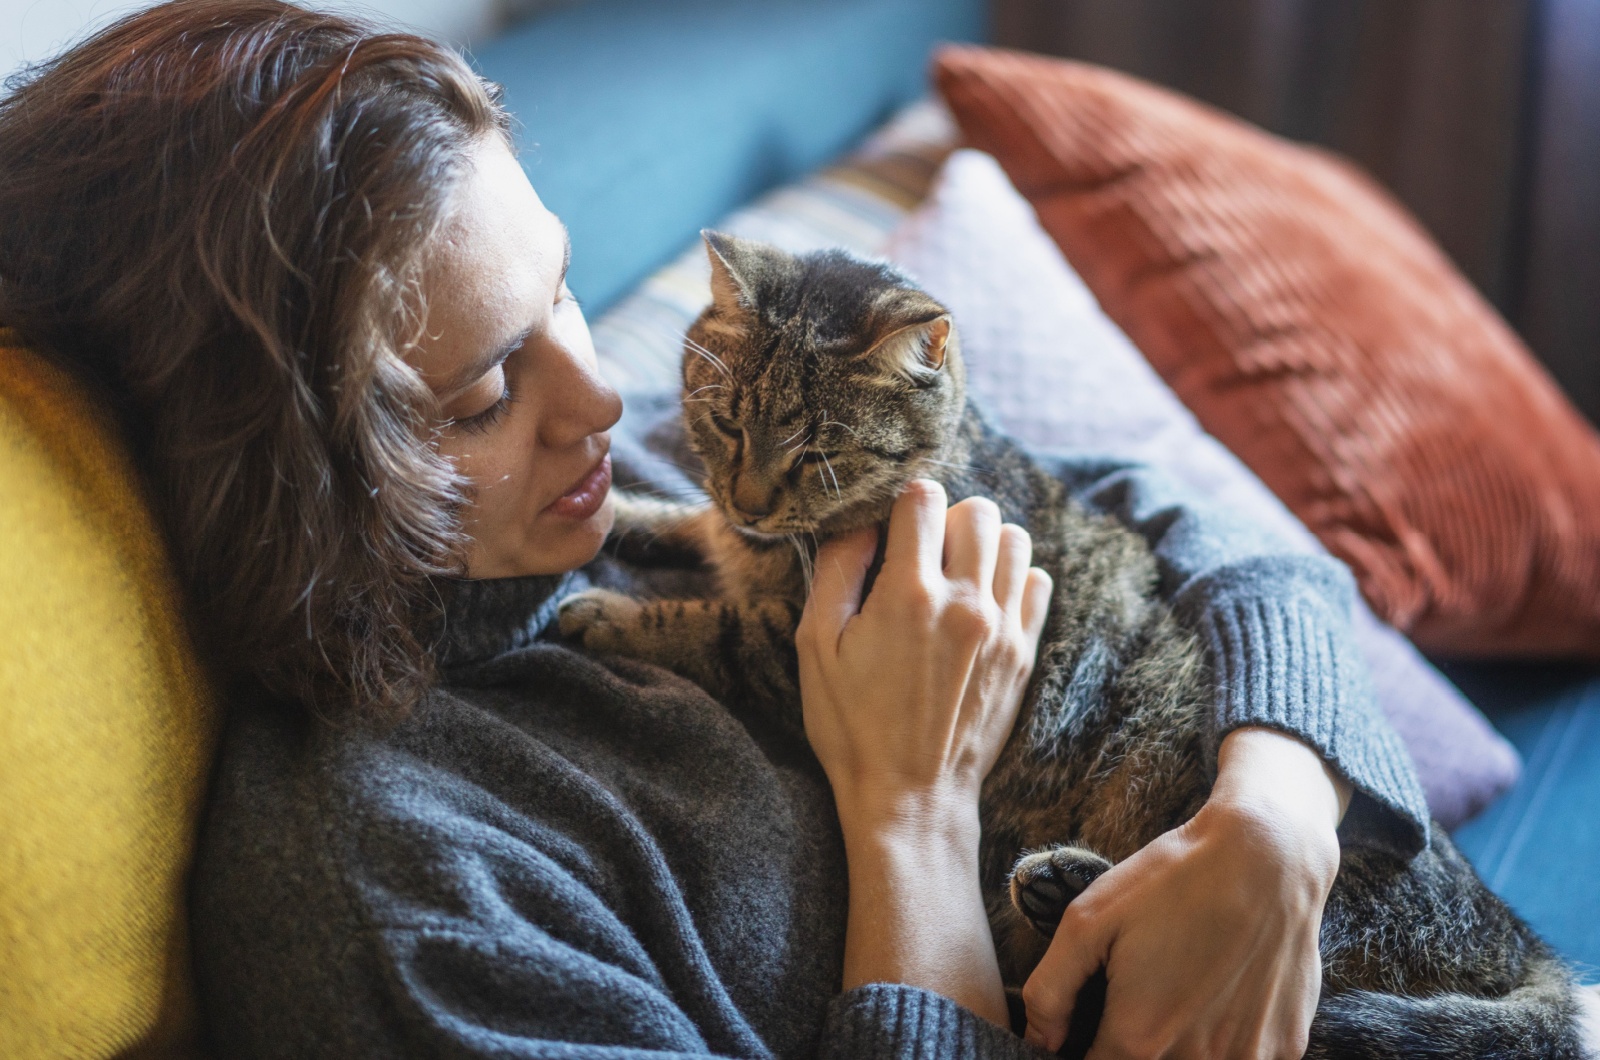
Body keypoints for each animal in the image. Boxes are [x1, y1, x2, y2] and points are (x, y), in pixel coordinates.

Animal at [560, 235, 1587, 1060]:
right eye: (728, 421)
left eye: (818, 454)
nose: (752, 497)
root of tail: (1531, 958)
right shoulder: (740, 546)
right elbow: (690, 529)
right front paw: (628, 516)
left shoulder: (790, 650)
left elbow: (708, 625)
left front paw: (600, 614)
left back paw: (1066, 889)